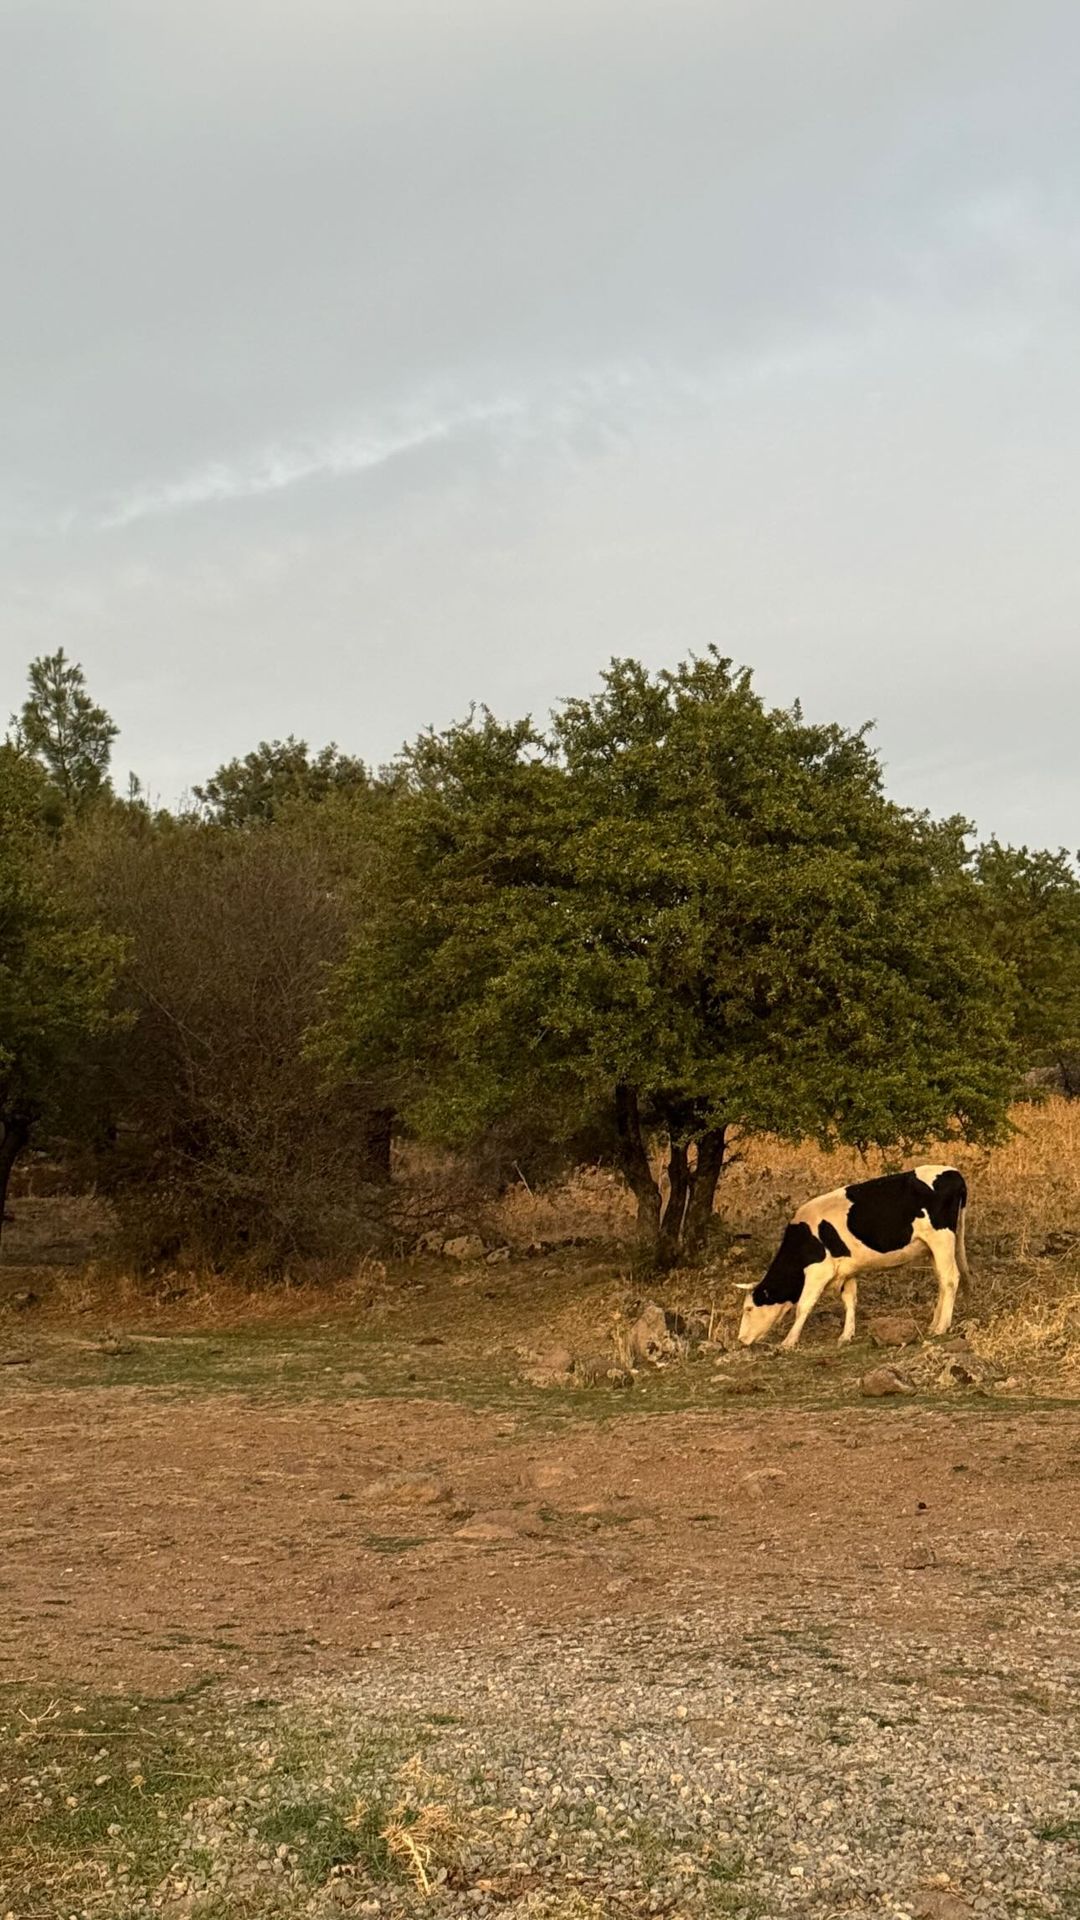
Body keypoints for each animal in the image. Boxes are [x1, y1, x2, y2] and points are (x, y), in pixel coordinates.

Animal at [730, 1159, 968, 1344]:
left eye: (748, 1309)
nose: (741, 1339)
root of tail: (953, 1172)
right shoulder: (846, 1270)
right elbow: (850, 1301)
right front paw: (846, 1335)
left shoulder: (818, 1271)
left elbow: (804, 1305)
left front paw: (789, 1341)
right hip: (933, 1247)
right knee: (941, 1280)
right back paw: (934, 1324)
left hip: (942, 1239)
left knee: (950, 1278)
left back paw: (942, 1327)